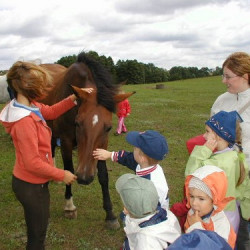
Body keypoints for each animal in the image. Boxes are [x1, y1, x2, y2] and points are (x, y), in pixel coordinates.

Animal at [41, 52, 135, 229]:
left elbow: (103, 175)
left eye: (108, 128)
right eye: (78, 123)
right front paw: (69, 206)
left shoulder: (102, 144)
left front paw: (110, 215)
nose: (84, 178)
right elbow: (69, 170)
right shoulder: (66, 141)